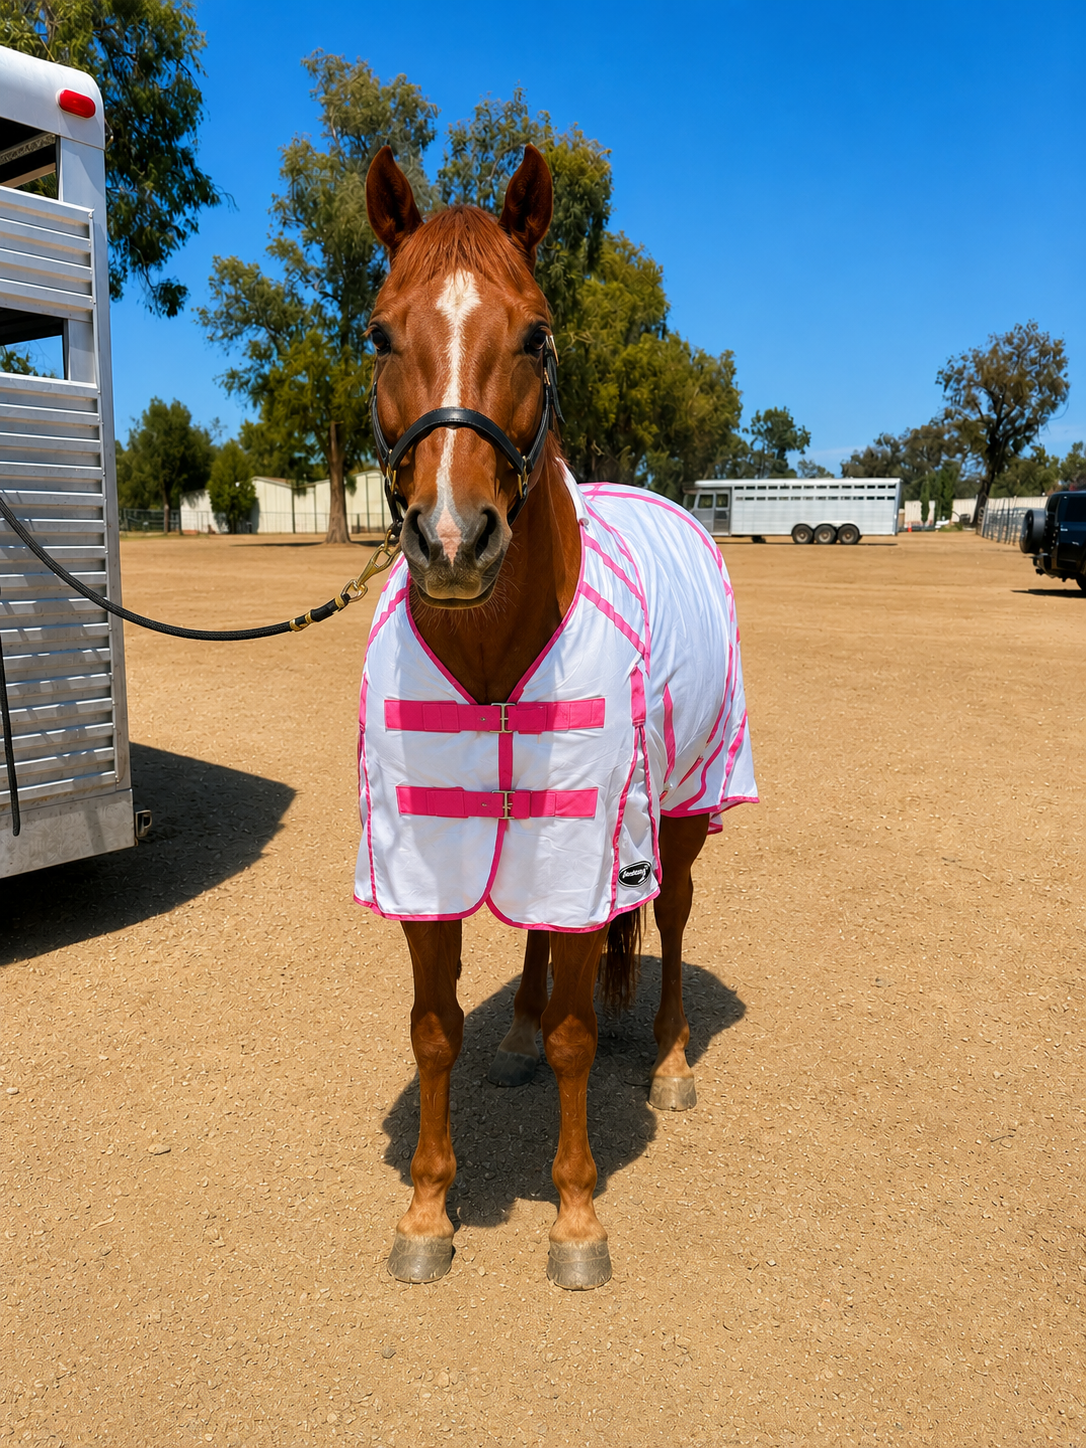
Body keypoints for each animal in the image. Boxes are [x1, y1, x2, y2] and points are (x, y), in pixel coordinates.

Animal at [358, 143, 756, 1290]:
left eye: (535, 333)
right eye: (379, 332)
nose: (454, 540)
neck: (492, 659)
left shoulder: (598, 846)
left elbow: (583, 1034)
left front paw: (576, 1219)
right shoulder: (427, 862)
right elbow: (433, 1031)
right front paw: (427, 1211)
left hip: (677, 813)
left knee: (674, 919)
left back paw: (669, 1060)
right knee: (537, 937)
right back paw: (517, 1038)